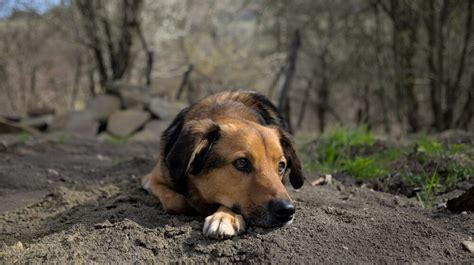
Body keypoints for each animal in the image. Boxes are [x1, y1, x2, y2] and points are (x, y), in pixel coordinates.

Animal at [142, 90, 304, 237]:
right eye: (242, 162)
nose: (287, 211)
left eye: (281, 166)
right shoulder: (156, 179)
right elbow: (175, 200)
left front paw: (224, 217)